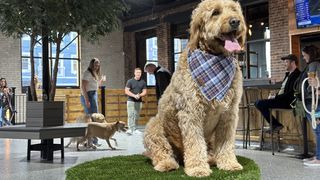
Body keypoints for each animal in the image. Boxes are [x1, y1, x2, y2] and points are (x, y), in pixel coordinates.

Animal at [144, 0, 246, 177]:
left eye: (234, 10)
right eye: (215, 12)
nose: (235, 21)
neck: (215, 58)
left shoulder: (229, 114)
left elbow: (226, 143)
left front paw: (229, 163)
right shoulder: (191, 112)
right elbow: (195, 143)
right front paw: (198, 168)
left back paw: (211, 159)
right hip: (154, 127)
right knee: (161, 152)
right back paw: (167, 163)